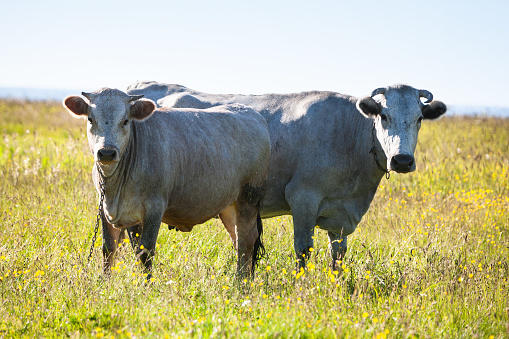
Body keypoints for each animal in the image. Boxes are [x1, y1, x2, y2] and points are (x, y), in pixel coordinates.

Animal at [63, 88, 270, 278]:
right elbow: (109, 248)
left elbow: (145, 252)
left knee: (246, 240)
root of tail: (252, 114)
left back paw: (241, 282)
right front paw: (105, 283)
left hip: (249, 198)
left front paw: (145, 286)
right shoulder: (106, 207)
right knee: (238, 239)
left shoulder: (154, 207)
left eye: (125, 121)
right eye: (91, 119)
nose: (106, 152)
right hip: (229, 206)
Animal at [129, 81, 446, 270]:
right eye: (383, 116)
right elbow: (303, 249)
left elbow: (338, 254)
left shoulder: (342, 215)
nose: (402, 160)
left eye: (419, 118)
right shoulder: (303, 198)